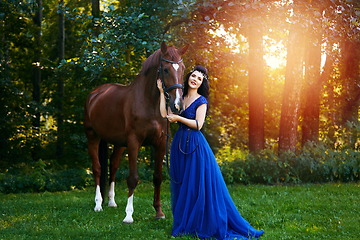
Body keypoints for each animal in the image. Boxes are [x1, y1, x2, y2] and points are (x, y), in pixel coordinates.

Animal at [83, 41, 190, 223]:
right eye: (166, 69)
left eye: (182, 68)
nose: (178, 105)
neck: (149, 103)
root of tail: (94, 94)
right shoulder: (134, 142)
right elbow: (133, 178)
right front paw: (128, 215)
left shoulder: (160, 143)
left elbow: (157, 177)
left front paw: (159, 212)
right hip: (93, 137)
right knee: (97, 168)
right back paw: (98, 204)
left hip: (119, 143)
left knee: (113, 166)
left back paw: (110, 202)